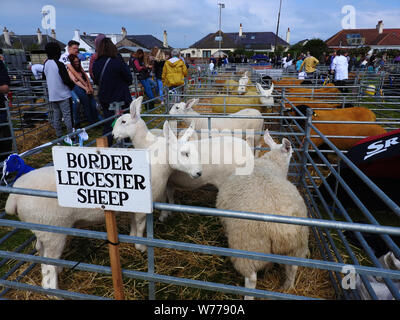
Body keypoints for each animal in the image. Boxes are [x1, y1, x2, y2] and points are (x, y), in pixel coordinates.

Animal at [4, 117, 202, 290]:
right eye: (184, 153)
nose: (199, 173)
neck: (158, 165)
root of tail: (15, 196)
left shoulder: (132, 206)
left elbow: (133, 225)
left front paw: (131, 238)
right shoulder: (142, 208)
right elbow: (140, 227)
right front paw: (141, 247)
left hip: (41, 228)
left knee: (41, 250)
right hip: (53, 230)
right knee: (48, 265)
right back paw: (53, 290)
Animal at [216, 130, 310, 300]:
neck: (271, 163)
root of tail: (280, 229)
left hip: (249, 245)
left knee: (251, 279)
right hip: (297, 245)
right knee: (292, 268)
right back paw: (287, 288)